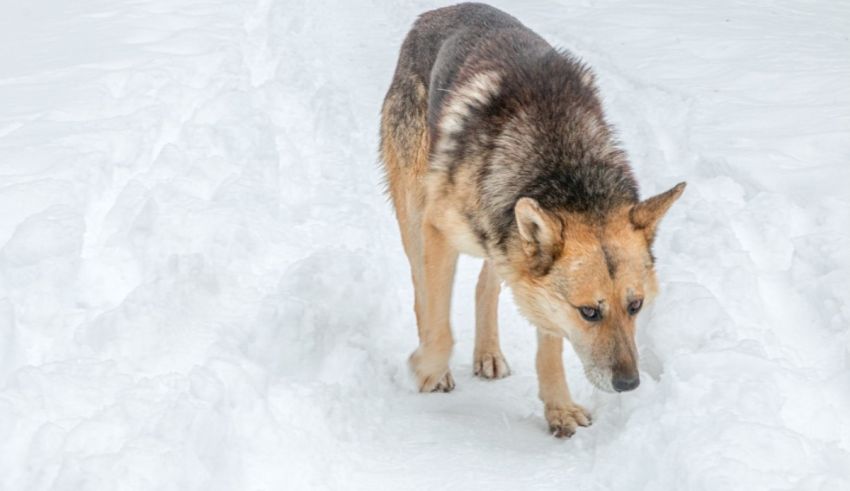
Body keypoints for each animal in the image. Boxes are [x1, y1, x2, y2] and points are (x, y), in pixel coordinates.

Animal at [379, 3, 685, 437]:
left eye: (636, 305)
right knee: (422, 290)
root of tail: (441, 10)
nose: (629, 384)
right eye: (590, 312)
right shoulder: (438, 230)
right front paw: (425, 369)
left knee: (486, 283)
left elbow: (550, 347)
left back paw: (488, 353)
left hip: (500, 238)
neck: (563, 166)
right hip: (416, 214)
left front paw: (559, 408)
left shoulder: (531, 273)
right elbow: (440, 328)